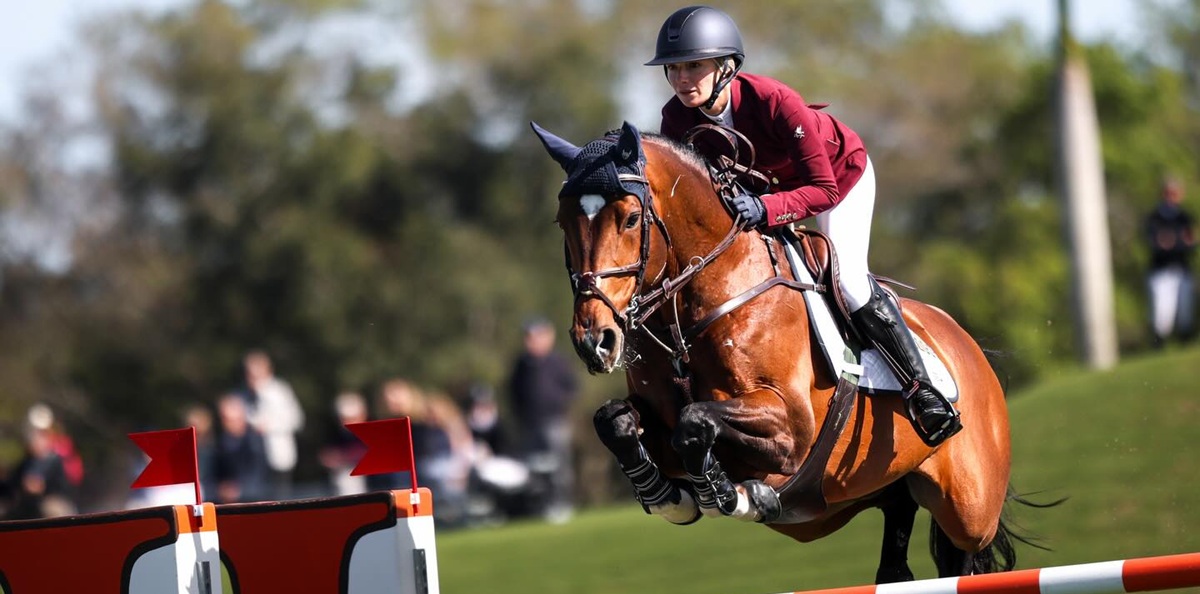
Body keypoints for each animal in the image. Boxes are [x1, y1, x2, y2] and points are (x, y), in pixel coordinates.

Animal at [531, 119, 1031, 581]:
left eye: (631, 219)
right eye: (562, 222)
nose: (594, 340)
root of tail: (969, 347)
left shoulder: (791, 427)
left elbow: (697, 421)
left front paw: (727, 494)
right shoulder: (659, 421)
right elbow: (615, 421)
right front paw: (667, 495)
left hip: (968, 512)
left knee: (965, 557)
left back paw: (933, 407)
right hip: (895, 488)